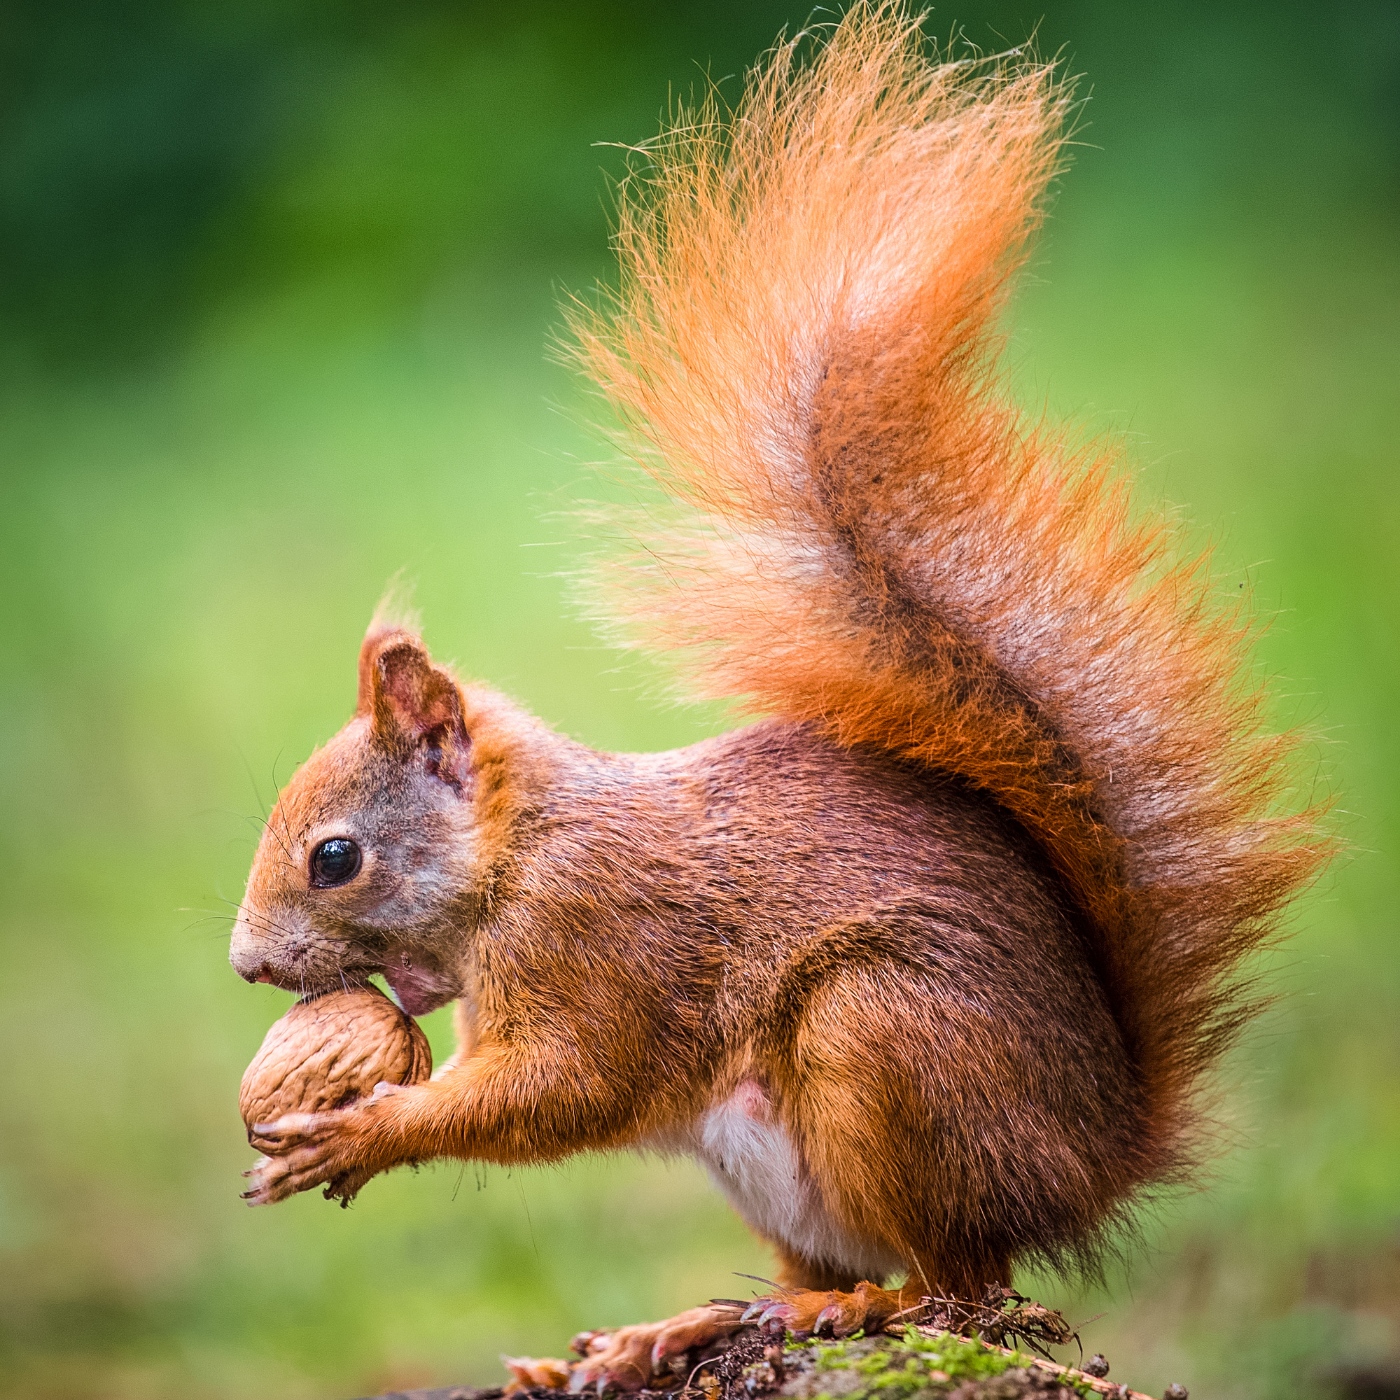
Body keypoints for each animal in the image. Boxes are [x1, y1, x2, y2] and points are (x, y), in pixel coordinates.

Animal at [230, 4, 1329, 1391]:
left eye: (336, 857)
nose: (247, 962)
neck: (520, 848)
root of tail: (1095, 1157)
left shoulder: (600, 939)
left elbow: (564, 1087)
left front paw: (361, 1134)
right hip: (782, 1166)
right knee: (849, 1269)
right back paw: (676, 1328)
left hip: (883, 1043)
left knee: (958, 1281)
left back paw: (853, 1309)